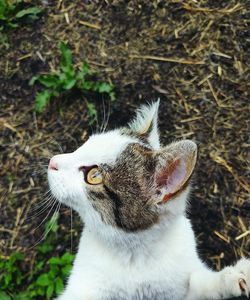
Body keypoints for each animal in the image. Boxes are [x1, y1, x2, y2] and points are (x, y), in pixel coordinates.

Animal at [47, 101, 250, 300]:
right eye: (84, 145)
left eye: (94, 175)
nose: (52, 161)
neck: (135, 253)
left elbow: (197, 284)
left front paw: (231, 278)